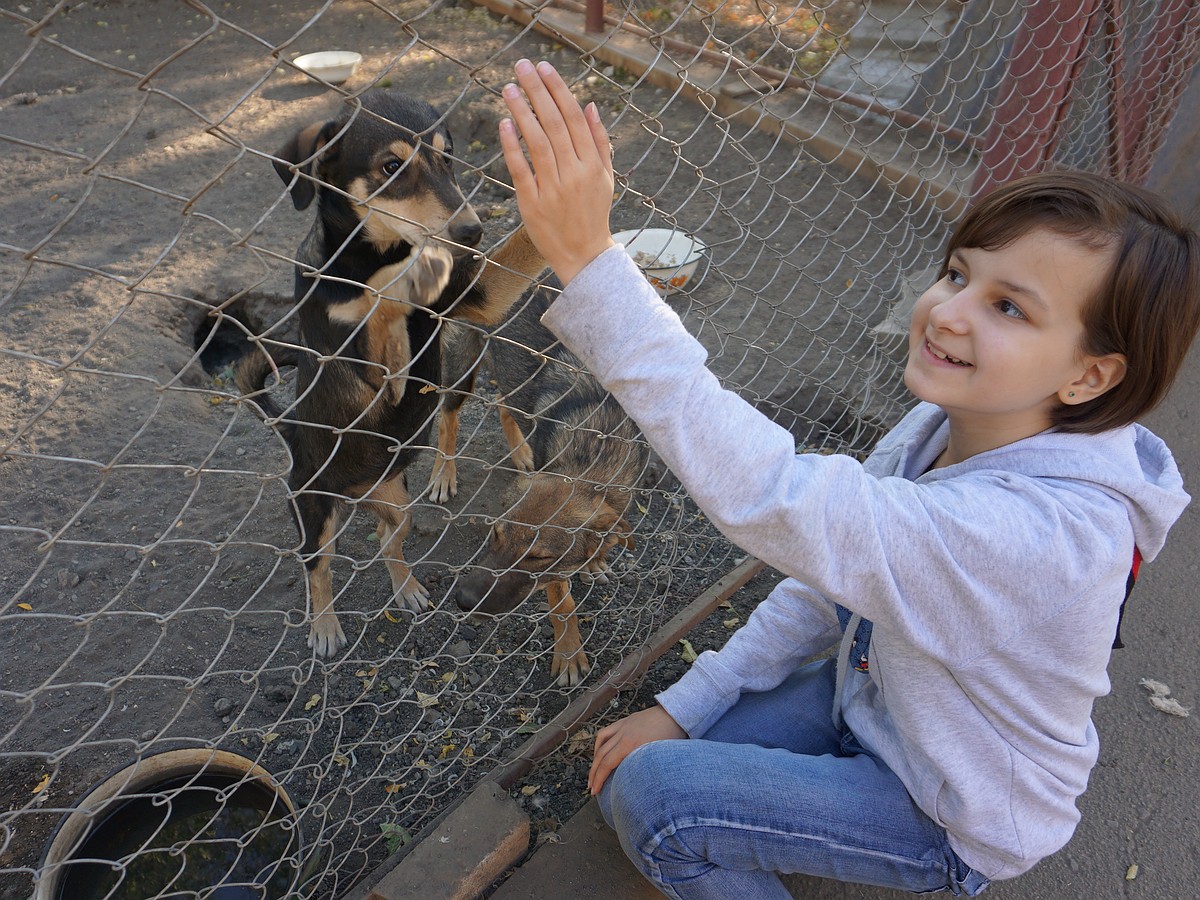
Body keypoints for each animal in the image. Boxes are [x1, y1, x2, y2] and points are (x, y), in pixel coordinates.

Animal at [237, 90, 544, 657]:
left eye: (448, 157)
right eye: (391, 167)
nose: (471, 233)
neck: (376, 254)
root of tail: (289, 428)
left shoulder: (479, 298)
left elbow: (518, 248)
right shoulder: (368, 366)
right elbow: (380, 302)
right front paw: (405, 279)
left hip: (395, 499)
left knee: (388, 539)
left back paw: (407, 589)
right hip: (313, 509)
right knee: (318, 568)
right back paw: (325, 628)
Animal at [436, 289, 652, 681]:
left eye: (537, 558)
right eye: (496, 536)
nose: (463, 601)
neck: (594, 447)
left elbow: (605, 536)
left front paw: (596, 560)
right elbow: (562, 603)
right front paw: (568, 654)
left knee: (504, 403)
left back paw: (520, 452)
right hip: (462, 363)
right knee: (448, 416)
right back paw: (443, 474)